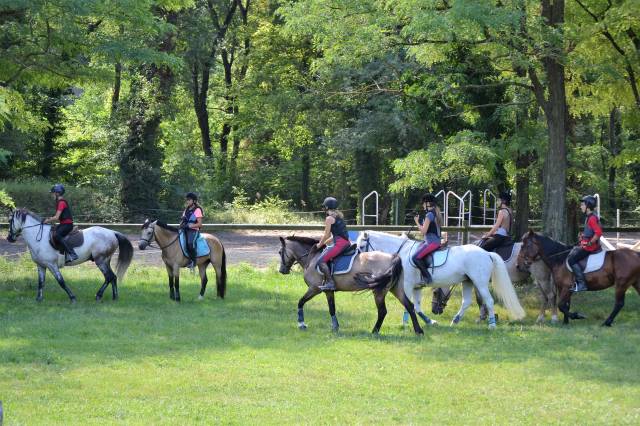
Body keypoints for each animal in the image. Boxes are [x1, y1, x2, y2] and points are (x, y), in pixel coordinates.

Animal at [5, 208, 133, 302]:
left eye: (10, 220)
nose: (9, 238)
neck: (38, 238)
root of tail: (113, 232)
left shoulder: (52, 265)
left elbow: (61, 281)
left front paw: (72, 297)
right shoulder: (41, 265)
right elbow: (41, 283)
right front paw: (39, 299)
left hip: (100, 260)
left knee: (109, 277)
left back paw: (99, 295)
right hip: (105, 260)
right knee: (113, 277)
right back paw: (114, 297)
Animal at [276, 235, 422, 334]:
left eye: (279, 252)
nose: (281, 270)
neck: (312, 257)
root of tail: (393, 256)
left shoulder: (314, 289)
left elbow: (300, 302)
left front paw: (301, 324)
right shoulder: (328, 291)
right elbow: (332, 308)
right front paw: (335, 327)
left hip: (379, 291)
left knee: (382, 311)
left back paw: (374, 331)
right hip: (396, 289)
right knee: (409, 306)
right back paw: (418, 331)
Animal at [358, 231, 528, 328]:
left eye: (360, 246)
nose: (358, 259)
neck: (402, 253)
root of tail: (486, 253)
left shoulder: (406, 285)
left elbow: (408, 305)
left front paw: (405, 324)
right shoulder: (416, 287)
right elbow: (416, 307)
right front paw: (430, 322)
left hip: (479, 282)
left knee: (489, 301)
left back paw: (491, 325)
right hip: (467, 281)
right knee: (466, 302)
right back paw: (455, 321)